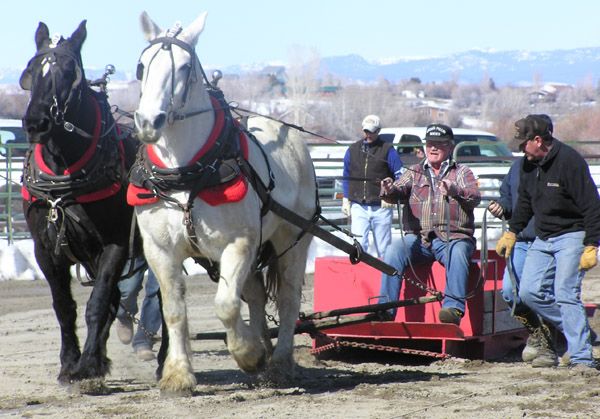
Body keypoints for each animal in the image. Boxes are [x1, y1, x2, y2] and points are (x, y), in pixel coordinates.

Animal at [19, 19, 142, 388]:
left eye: (69, 72)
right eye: (32, 69)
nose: (36, 122)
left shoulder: (116, 244)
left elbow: (98, 303)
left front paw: (86, 365)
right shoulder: (46, 249)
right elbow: (64, 307)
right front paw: (71, 362)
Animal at [132, 10, 318, 398]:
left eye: (184, 67)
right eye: (142, 66)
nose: (149, 121)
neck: (185, 172)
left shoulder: (239, 243)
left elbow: (226, 304)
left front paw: (247, 353)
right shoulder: (159, 250)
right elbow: (174, 310)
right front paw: (178, 375)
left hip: (292, 238)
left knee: (288, 297)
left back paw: (278, 361)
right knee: (258, 295)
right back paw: (264, 346)